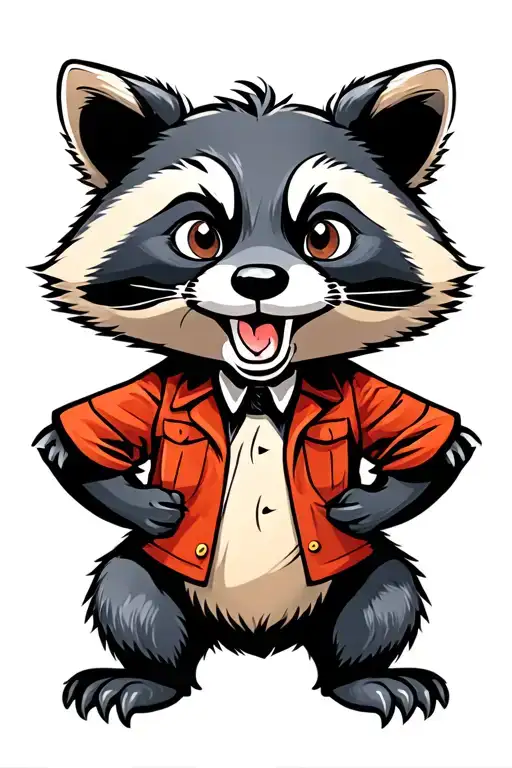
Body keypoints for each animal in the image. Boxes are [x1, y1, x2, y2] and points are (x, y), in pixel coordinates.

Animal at [34, 58, 479, 728]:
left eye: (324, 236)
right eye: (199, 235)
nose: (259, 281)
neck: (258, 388)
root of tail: (257, 638)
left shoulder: (360, 390)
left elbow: (441, 450)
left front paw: (358, 506)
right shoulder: (158, 386)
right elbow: (70, 449)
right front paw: (155, 507)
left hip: (358, 587)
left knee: (384, 599)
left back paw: (368, 679)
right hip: (154, 588)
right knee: (131, 598)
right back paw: (144, 679)